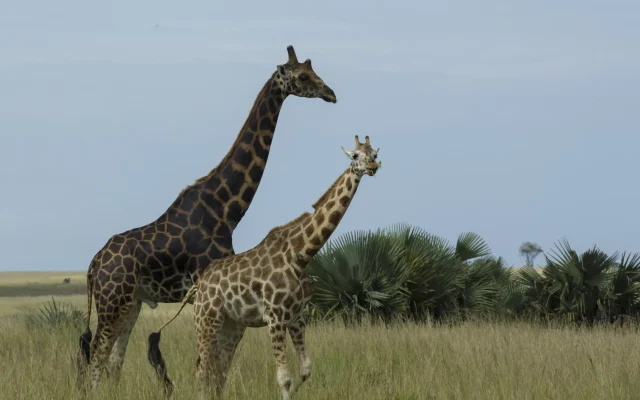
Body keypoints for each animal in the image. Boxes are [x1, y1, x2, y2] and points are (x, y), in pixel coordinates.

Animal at [76, 45, 338, 392]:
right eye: (304, 76)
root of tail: (93, 266)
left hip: (130, 303)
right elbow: (210, 365)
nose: (330, 93)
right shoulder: (207, 290)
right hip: (111, 302)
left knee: (113, 361)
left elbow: (214, 365)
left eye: (314, 71)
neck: (226, 209)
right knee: (96, 359)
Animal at [149, 135, 381, 399]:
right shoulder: (275, 317)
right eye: (356, 155)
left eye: (374, 153)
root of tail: (197, 287)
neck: (301, 254)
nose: (373, 166)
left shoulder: (296, 316)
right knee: (202, 369)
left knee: (218, 369)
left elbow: (305, 370)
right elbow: (284, 378)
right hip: (206, 320)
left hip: (231, 325)